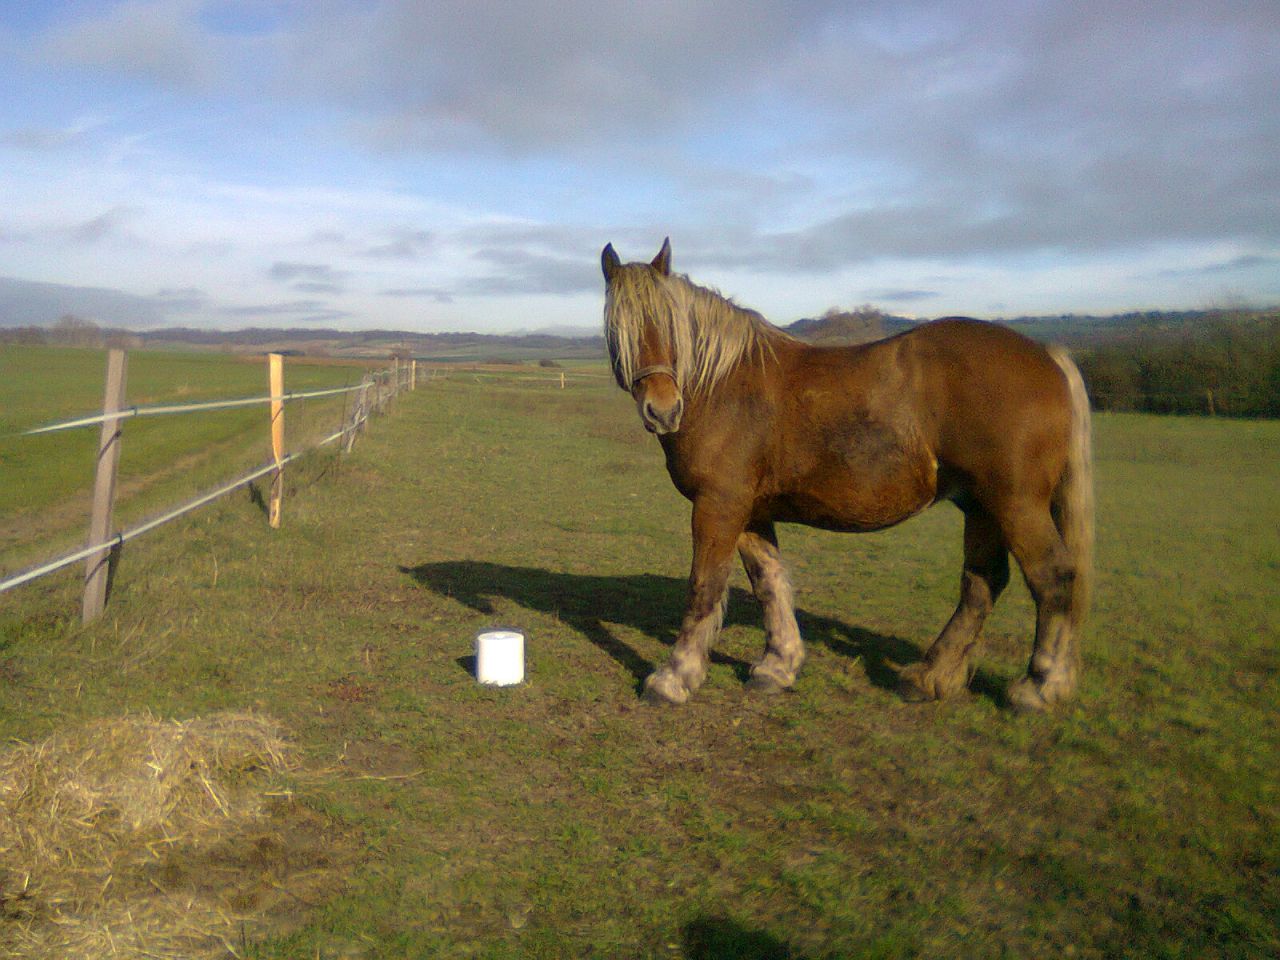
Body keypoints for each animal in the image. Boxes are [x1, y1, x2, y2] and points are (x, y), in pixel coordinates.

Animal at [601, 238, 1094, 712]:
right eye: (618, 330)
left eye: (669, 325)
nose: (664, 411)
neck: (720, 386)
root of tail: (1046, 356)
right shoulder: (750, 512)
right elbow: (770, 583)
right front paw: (778, 666)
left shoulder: (718, 505)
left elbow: (704, 586)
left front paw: (673, 677)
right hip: (981, 507)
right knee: (982, 584)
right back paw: (930, 678)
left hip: (1015, 504)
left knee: (1052, 576)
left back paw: (1040, 686)